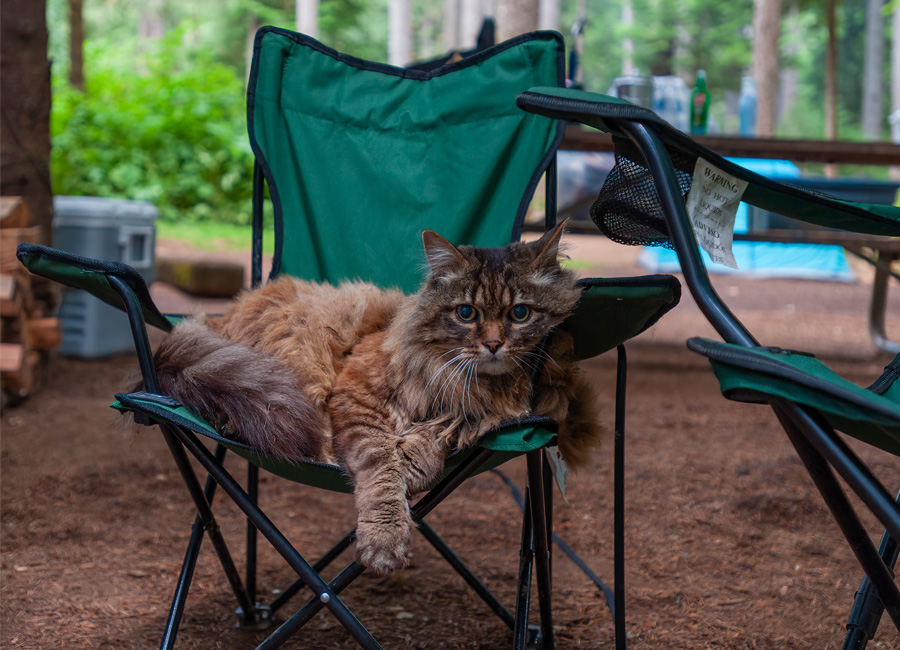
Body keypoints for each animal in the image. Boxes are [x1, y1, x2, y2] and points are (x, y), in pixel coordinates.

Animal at [151, 223, 604, 572]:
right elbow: (381, 467)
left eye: (520, 314)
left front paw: (417, 461)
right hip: (303, 361)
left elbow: (442, 430)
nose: (493, 345)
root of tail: (222, 315)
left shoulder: (481, 413)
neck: (478, 386)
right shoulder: (357, 399)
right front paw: (385, 540)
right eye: (466, 313)